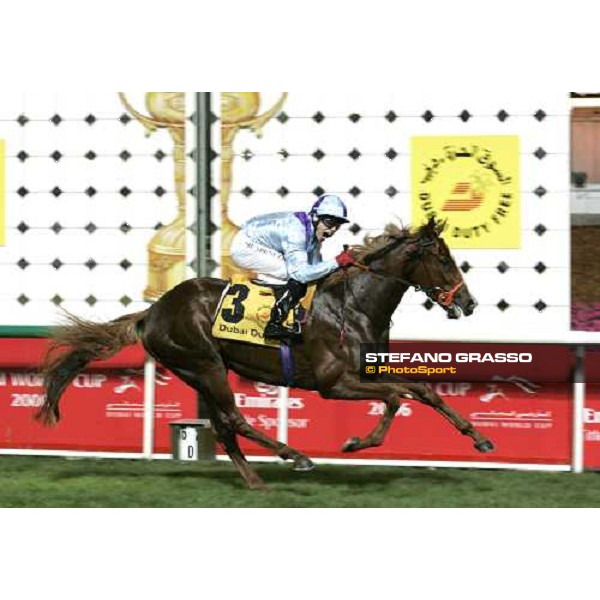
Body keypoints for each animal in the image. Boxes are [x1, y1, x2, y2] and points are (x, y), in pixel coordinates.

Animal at [39, 218, 494, 490]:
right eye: (443, 258)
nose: (468, 302)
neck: (354, 305)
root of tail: (152, 311)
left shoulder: (369, 371)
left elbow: (423, 391)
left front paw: (479, 438)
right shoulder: (334, 383)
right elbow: (397, 398)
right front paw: (355, 443)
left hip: (199, 371)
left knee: (223, 425)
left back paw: (255, 479)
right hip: (204, 363)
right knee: (234, 419)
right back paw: (295, 456)